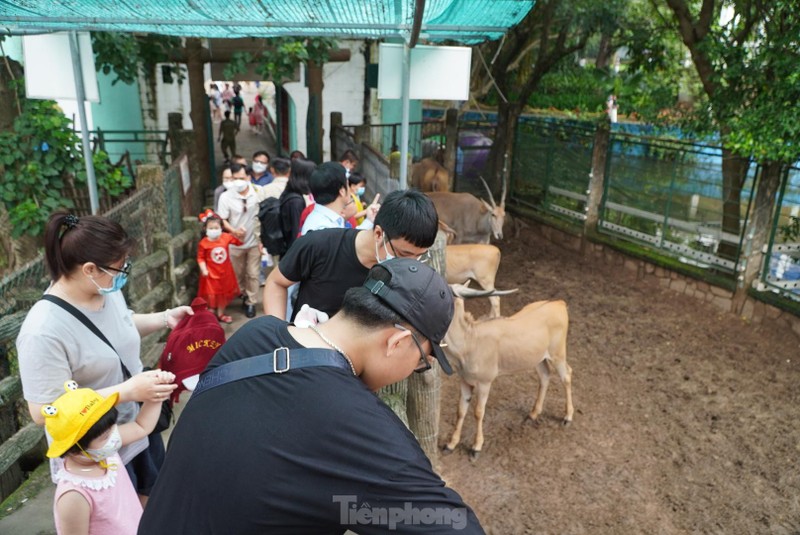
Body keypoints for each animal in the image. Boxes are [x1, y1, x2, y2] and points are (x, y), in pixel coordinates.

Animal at [444, 284, 576, 460]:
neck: (469, 341)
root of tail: (559, 304)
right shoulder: (465, 381)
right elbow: (460, 410)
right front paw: (450, 445)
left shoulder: (485, 382)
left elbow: (478, 412)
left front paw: (476, 448)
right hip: (538, 359)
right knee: (545, 376)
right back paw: (532, 414)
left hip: (558, 353)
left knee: (567, 375)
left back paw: (567, 417)